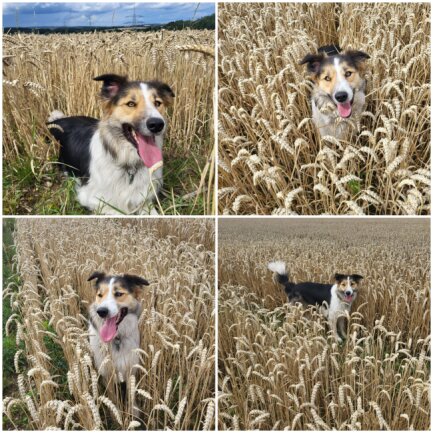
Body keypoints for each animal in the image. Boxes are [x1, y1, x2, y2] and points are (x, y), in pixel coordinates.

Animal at [46, 74, 174, 216]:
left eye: (157, 103)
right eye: (131, 104)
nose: (157, 124)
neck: (128, 164)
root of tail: (59, 121)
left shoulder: (143, 198)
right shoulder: (91, 197)